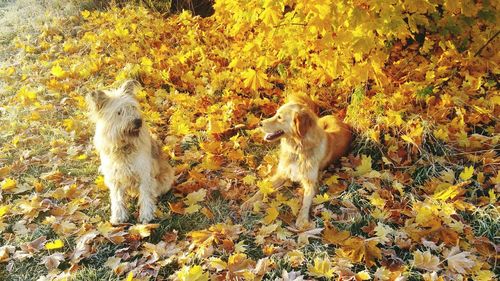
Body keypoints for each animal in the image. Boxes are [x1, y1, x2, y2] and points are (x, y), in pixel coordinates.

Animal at [85, 80, 173, 223]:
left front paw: (146, 216)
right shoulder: (114, 177)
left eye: (133, 107)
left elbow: (146, 196)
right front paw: (119, 216)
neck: (125, 146)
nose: (138, 121)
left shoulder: (144, 173)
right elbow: (117, 199)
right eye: (119, 112)